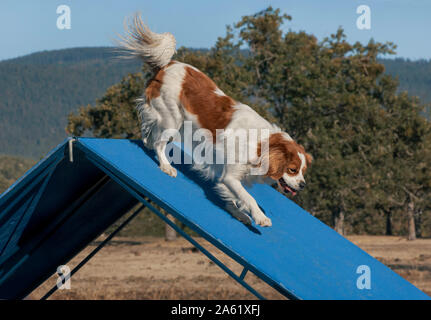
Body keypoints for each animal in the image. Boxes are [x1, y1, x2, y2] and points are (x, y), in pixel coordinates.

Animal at [120, 14, 312, 225]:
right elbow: (248, 198)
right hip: (172, 120)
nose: (303, 185)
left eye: (303, 171)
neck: (260, 144)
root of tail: (168, 65)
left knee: (149, 130)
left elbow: (234, 198)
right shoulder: (231, 176)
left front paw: (238, 213)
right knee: (159, 143)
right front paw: (260, 217)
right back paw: (165, 166)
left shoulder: (226, 175)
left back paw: (147, 143)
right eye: (293, 169)